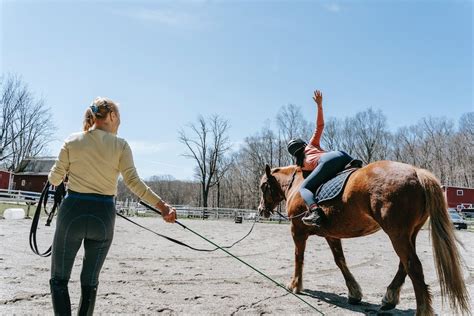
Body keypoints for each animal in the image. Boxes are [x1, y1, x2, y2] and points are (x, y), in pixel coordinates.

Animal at [260, 162, 470, 314]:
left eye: (263, 186)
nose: (261, 210)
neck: (297, 186)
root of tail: (416, 172)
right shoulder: (331, 235)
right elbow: (340, 260)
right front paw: (354, 293)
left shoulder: (297, 231)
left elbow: (298, 257)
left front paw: (295, 285)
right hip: (410, 234)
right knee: (405, 264)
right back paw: (389, 298)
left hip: (397, 234)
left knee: (414, 267)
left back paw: (420, 309)